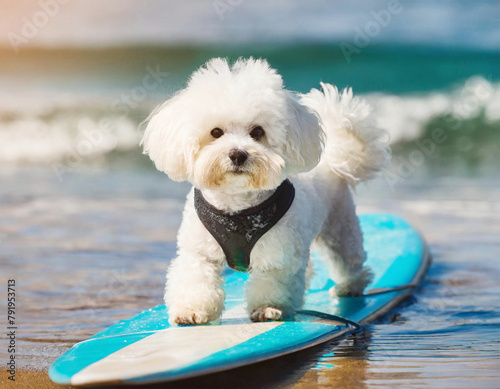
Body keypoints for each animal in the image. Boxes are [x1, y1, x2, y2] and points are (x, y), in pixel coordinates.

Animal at [142, 57, 390, 324]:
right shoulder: (198, 252)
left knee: (348, 258)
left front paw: (269, 308)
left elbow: (273, 281)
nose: (238, 154)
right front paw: (191, 310)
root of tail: (333, 160)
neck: (237, 207)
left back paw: (350, 286)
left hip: (339, 227)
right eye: (216, 132)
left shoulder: (279, 255)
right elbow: (195, 277)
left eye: (258, 131)